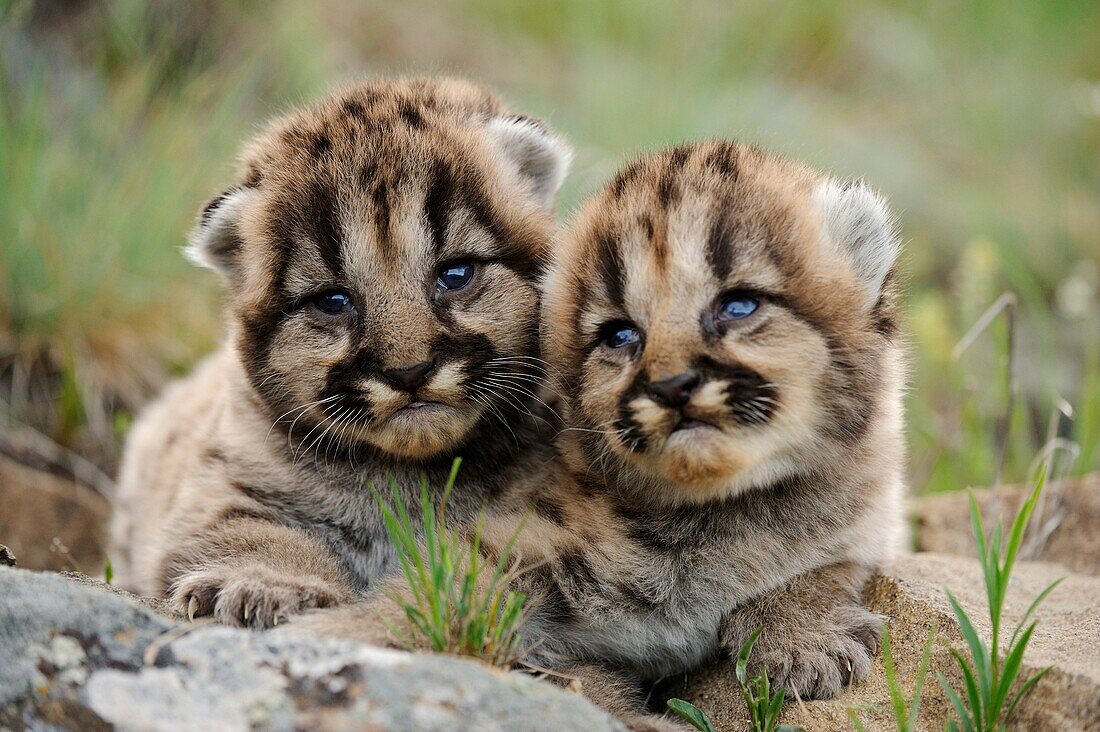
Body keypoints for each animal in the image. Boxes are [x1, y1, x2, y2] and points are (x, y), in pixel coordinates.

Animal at [109, 79, 576, 629]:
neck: (412, 481)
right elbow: (253, 532)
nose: (409, 372)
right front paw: (267, 582)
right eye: (333, 301)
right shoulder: (219, 487)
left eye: (456, 273)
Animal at [292, 138, 902, 726]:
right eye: (620, 335)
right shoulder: (518, 539)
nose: (673, 386)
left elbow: (829, 565)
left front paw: (803, 635)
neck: (714, 516)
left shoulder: (868, 518)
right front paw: (337, 635)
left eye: (738, 305)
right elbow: (442, 594)